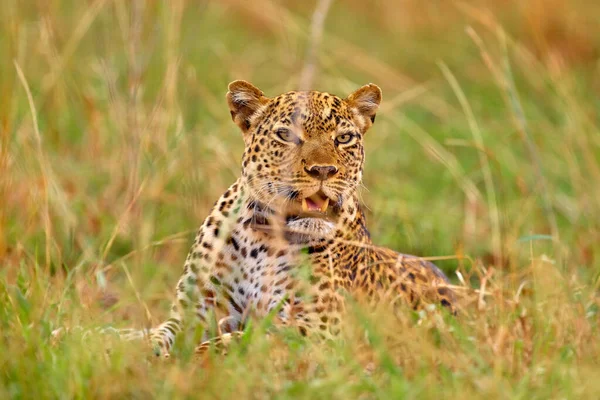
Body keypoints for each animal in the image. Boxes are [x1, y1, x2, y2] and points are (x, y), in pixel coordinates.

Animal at [143, 80, 454, 356]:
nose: (323, 170)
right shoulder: (194, 310)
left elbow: (239, 341)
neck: (263, 240)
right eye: (287, 135)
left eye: (343, 138)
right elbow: (158, 334)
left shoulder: (318, 325)